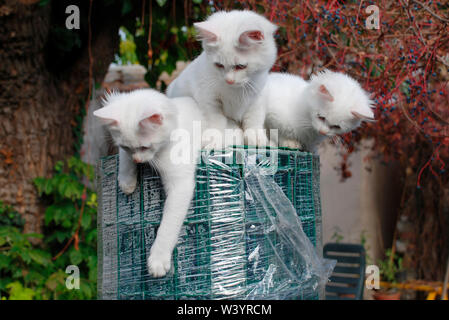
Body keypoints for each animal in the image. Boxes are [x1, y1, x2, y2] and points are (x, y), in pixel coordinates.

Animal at [93, 88, 202, 278]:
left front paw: (158, 260)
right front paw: (127, 181)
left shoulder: (180, 184)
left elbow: (168, 224)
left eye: (144, 147)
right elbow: (123, 158)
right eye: (127, 147)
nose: (137, 160)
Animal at [165, 10, 276, 148]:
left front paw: (255, 137)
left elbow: (254, 119)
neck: (236, 91)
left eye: (241, 66)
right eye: (219, 65)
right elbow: (216, 122)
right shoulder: (208, 99)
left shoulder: (258, 97)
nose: (229, 81)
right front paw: (213, 139)